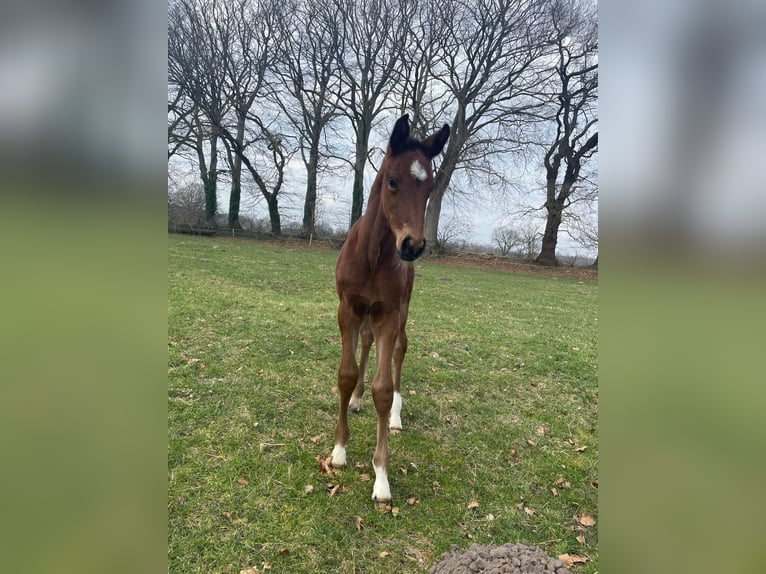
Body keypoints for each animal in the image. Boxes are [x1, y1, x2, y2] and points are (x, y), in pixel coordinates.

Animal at [330, 115, 450, 506]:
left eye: (429, 187)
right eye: (393, 180)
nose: (412, 245)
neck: (372, 256)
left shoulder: (389, 314)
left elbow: (382, 388)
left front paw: (381, 477)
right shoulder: (348, 309)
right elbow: (346, 373)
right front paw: (339, 450)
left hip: (403, 309)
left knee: (400, 349)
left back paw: (396, 415)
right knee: (366, 342)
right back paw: (355, 399)